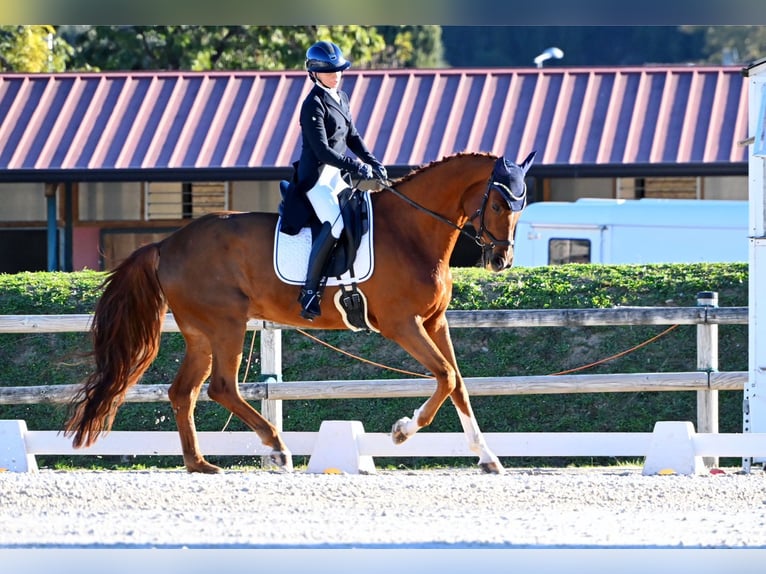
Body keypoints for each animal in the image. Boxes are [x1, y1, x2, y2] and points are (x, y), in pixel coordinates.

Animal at [64, 150, 536, 475]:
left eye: (522, 205)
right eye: (498, 205)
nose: (501, 261)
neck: (411, 231)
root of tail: (167, 243)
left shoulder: (434, 322)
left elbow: (458, 384)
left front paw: (487, 458)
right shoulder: (401, 324)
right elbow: (445, 375)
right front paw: (402, 430)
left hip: (201, 333)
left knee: (185, 392)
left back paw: (201, 464)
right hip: (227, 325)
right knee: (221, 387)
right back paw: (276, 447)